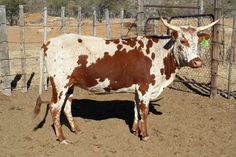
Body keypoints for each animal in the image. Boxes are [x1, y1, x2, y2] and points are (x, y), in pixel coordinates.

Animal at [34, 18, 218, 144]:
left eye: (197, 42)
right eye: (183, 41)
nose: (197, 62)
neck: (160, 54)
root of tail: (49, 42)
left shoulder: (138, 88)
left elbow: (136, 108)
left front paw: (136, 131)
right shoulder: (145, 87)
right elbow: (144, 111)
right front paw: (146, 136)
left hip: (70, 85)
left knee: (66, 107)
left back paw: (76, 130)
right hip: (60, 84)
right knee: (54, 107)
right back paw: (62, 138)